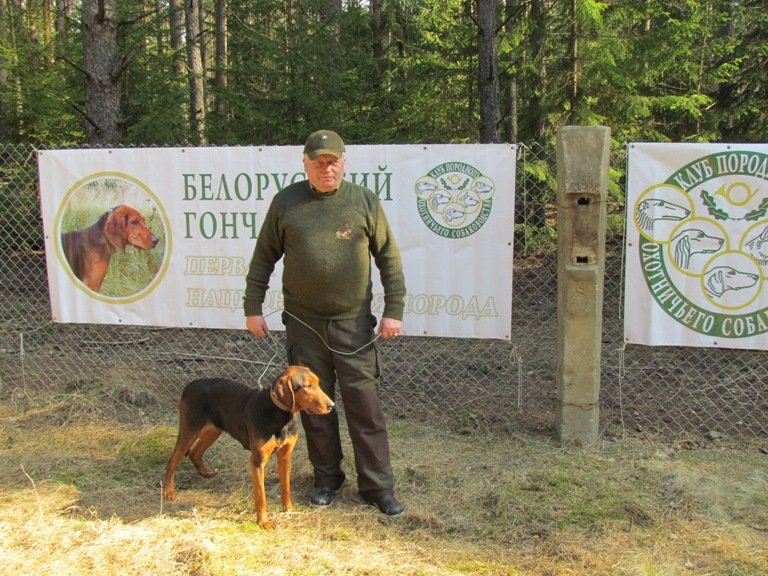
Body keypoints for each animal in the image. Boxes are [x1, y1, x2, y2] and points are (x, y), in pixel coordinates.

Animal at [164, 366, 334, 528]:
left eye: (318, 383)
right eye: (308, 386)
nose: (332, 405)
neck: (279, 415)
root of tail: (189, 385)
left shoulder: (285, 456)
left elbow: (286, 487)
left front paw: (289, 510)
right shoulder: (258, 461)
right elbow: (260, 496)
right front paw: (263, 522)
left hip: (213, 430)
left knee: (195, 453)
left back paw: (205, 473)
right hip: (189, 431)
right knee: (172, 461)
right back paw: (168, 492)